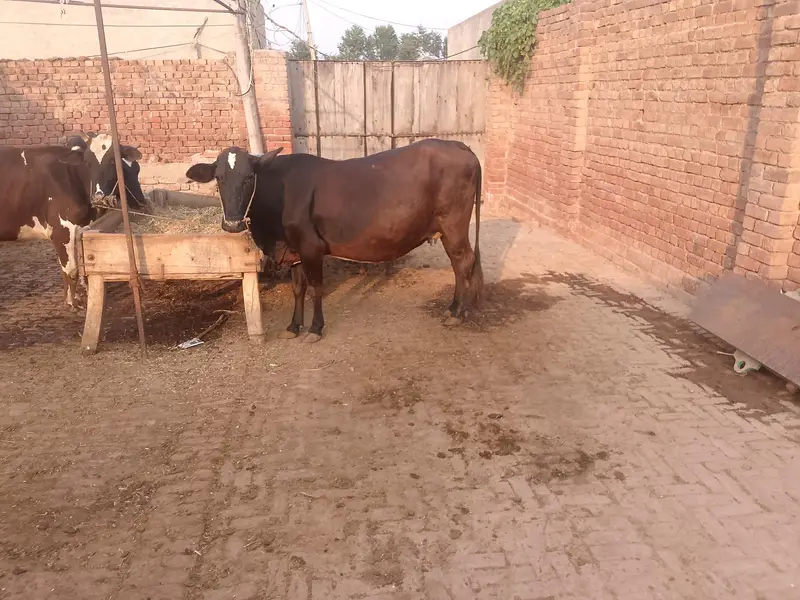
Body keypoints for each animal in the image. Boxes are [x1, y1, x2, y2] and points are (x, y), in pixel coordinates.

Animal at [186, 139, 483, 343]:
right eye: (218, 178)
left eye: (249, 177)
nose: (232, 223)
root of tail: (458, 145)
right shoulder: (294, 249)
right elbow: (298, 289)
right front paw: (293, 327)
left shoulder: (311, 246)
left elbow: (316, 287)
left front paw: (315, 328)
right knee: (462, 264)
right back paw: (455, 309)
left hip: (454, 225)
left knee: (464, 262)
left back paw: (457, 312)